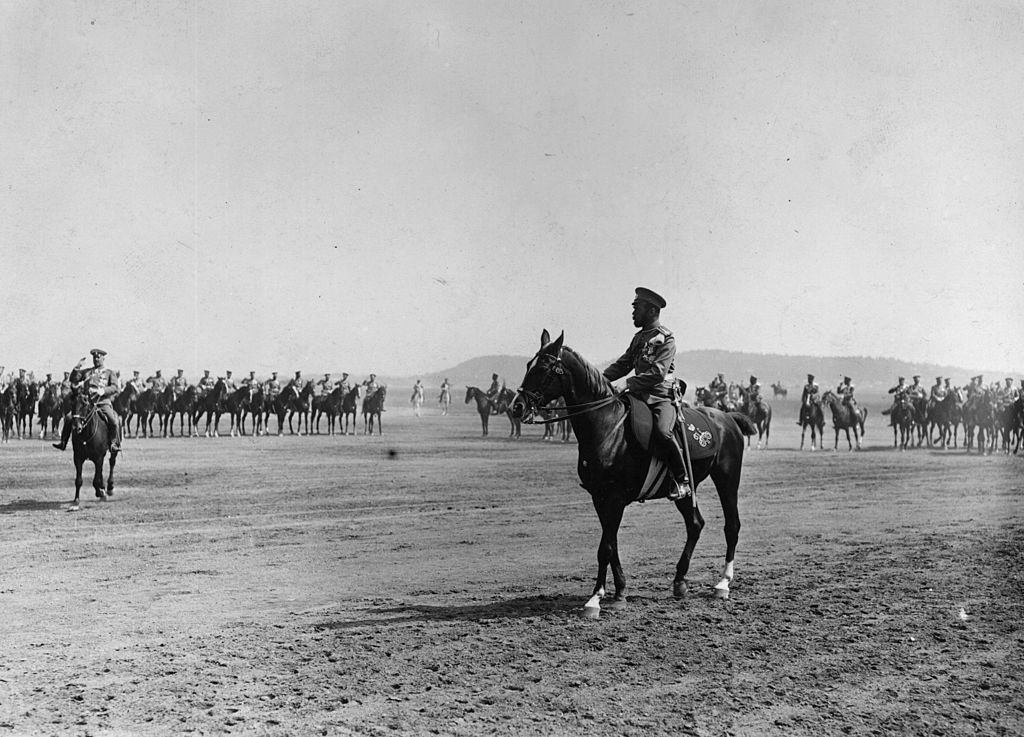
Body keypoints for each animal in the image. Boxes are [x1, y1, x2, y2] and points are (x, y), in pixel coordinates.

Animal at [509, 333, 757, 610]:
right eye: (528, 365)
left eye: (542, 368)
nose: (516, 407)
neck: (608, 427)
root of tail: (728, 418)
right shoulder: (600, 498)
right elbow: (611, 545)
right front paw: (619, 591)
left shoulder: (615, 499)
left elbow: (605, 548)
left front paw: (595, 598)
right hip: (683, 492)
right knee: (695, 524)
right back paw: (679, 581)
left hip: (727, 479)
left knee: (731, 526)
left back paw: (723, 583)